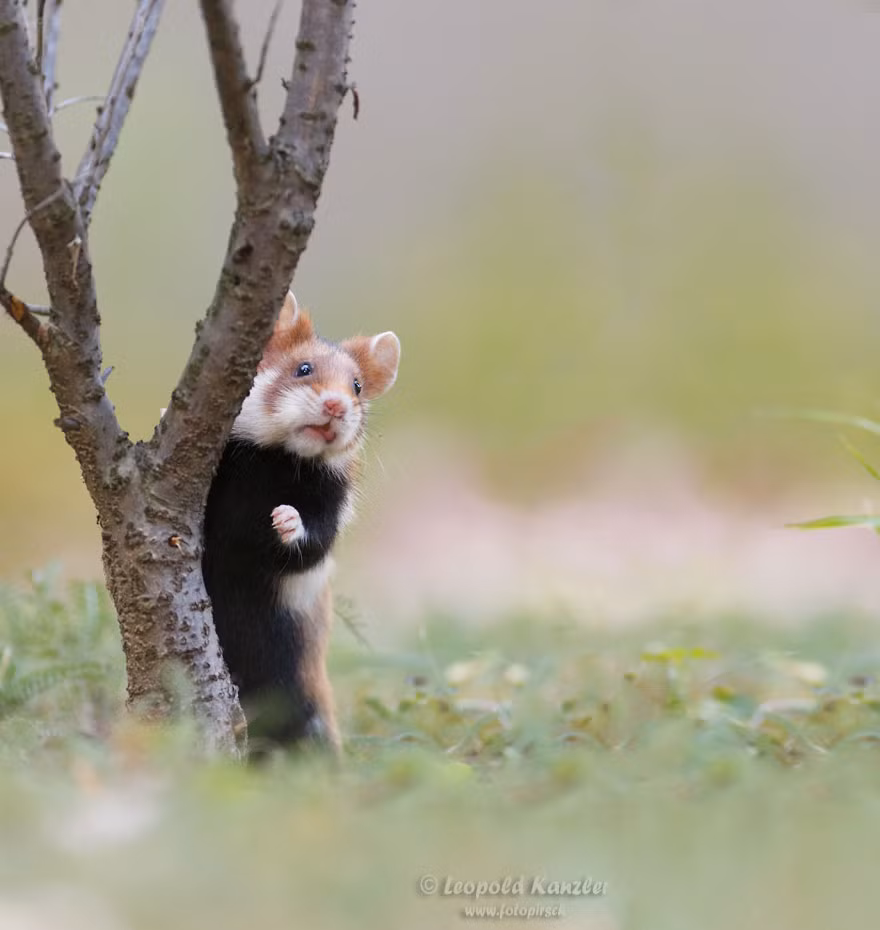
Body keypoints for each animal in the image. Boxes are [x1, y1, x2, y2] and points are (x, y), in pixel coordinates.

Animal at [202, 292, 400, 754]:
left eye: (357, 386)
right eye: (303, 369)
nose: (336, 406)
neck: (280, 463)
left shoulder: (331, 508)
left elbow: (309, 541)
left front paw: (284, 518)